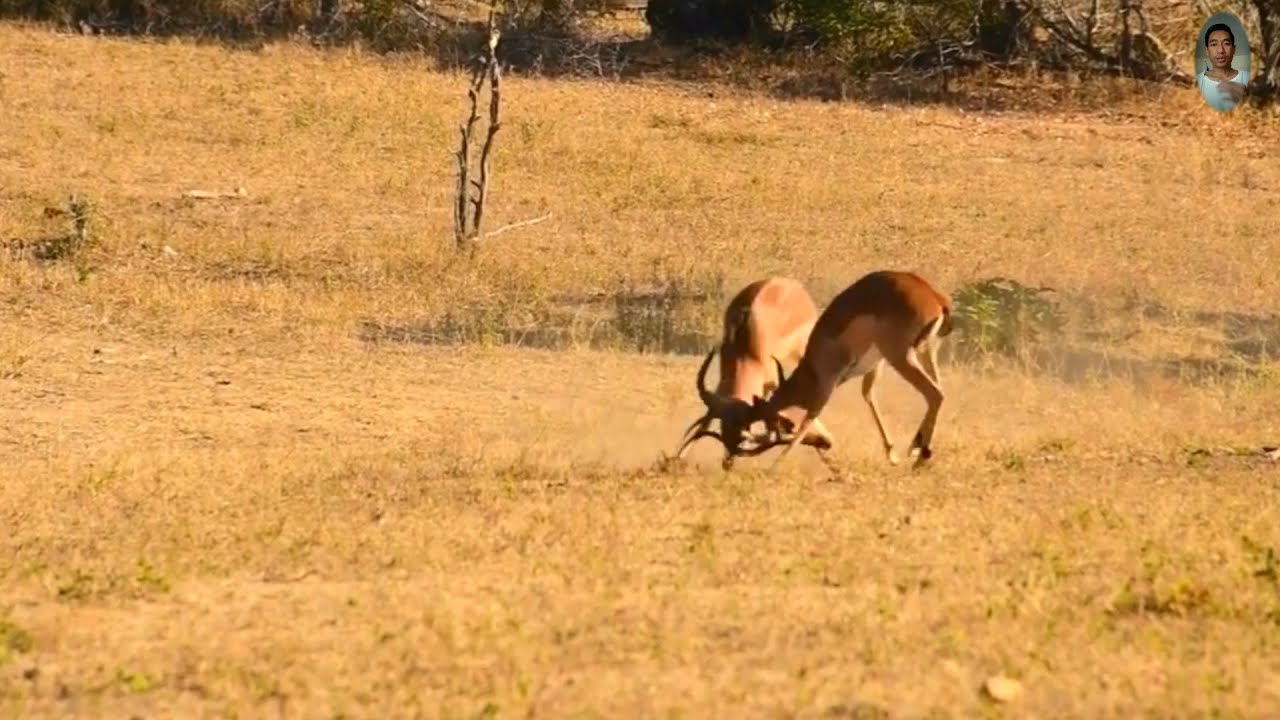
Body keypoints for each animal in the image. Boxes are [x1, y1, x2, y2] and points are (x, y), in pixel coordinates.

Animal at [674, 276, 836, 470]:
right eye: (724, 431)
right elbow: (706, 418)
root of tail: (790, 283)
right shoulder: (724, 383)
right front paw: (675, 460)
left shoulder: (773, 381)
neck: (746, 351)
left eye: (743, 433)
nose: (727, 462)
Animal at [734, 270, 954, 470]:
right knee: (938, 391)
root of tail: (935, 299)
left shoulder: (827, 383)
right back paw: (917, 449)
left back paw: (921, 456)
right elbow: (868, 394)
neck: (812, 369)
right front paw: (892, 455)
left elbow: (810, 417)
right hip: (926, 353)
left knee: (935, 394)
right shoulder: (875, 365)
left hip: (901, 357)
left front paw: (773, 468)